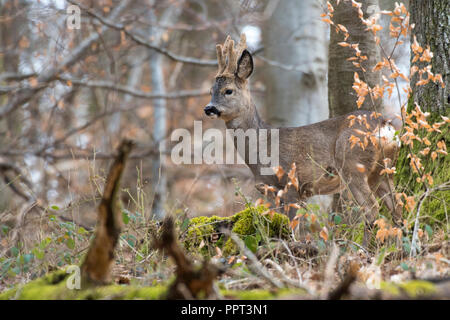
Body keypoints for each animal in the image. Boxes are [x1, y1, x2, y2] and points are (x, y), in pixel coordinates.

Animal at [206, 33, 402, 241]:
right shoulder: (276, 191)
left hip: (352, 164)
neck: (262, 147)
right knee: (397, 208)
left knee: (372, 209)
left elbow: (293, 227)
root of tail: (384, 124)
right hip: (383, 169)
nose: (209, 108)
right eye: (211, 91)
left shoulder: (290, 182)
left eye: (228, 90)